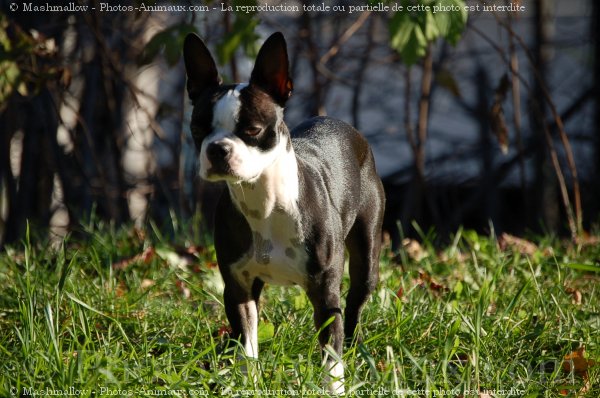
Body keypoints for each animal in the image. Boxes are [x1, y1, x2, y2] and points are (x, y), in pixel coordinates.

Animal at [183, 32, 384, 394]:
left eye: (251, 130)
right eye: (197, 129)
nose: (217, 148)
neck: (265, 202)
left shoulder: (325, 293)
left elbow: (331, 354)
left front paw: (334, 388)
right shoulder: (238, 288)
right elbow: (247, 344)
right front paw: (248, 382)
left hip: (366, 256)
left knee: (355, 306)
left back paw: (355, 348)